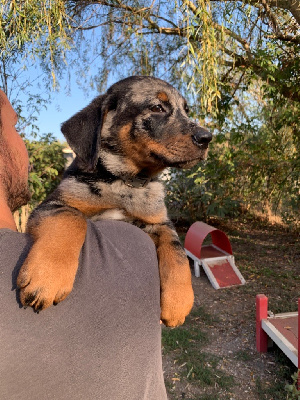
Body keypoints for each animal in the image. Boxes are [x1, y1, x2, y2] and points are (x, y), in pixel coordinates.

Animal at [17, 76, 212, 326]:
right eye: (157, 108)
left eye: (187, 111)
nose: (207, 138)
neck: (124, 182)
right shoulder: (52, 204)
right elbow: (72, 217)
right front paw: (47, 276)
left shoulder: (158, 222)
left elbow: (176, 249)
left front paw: (179, 302)